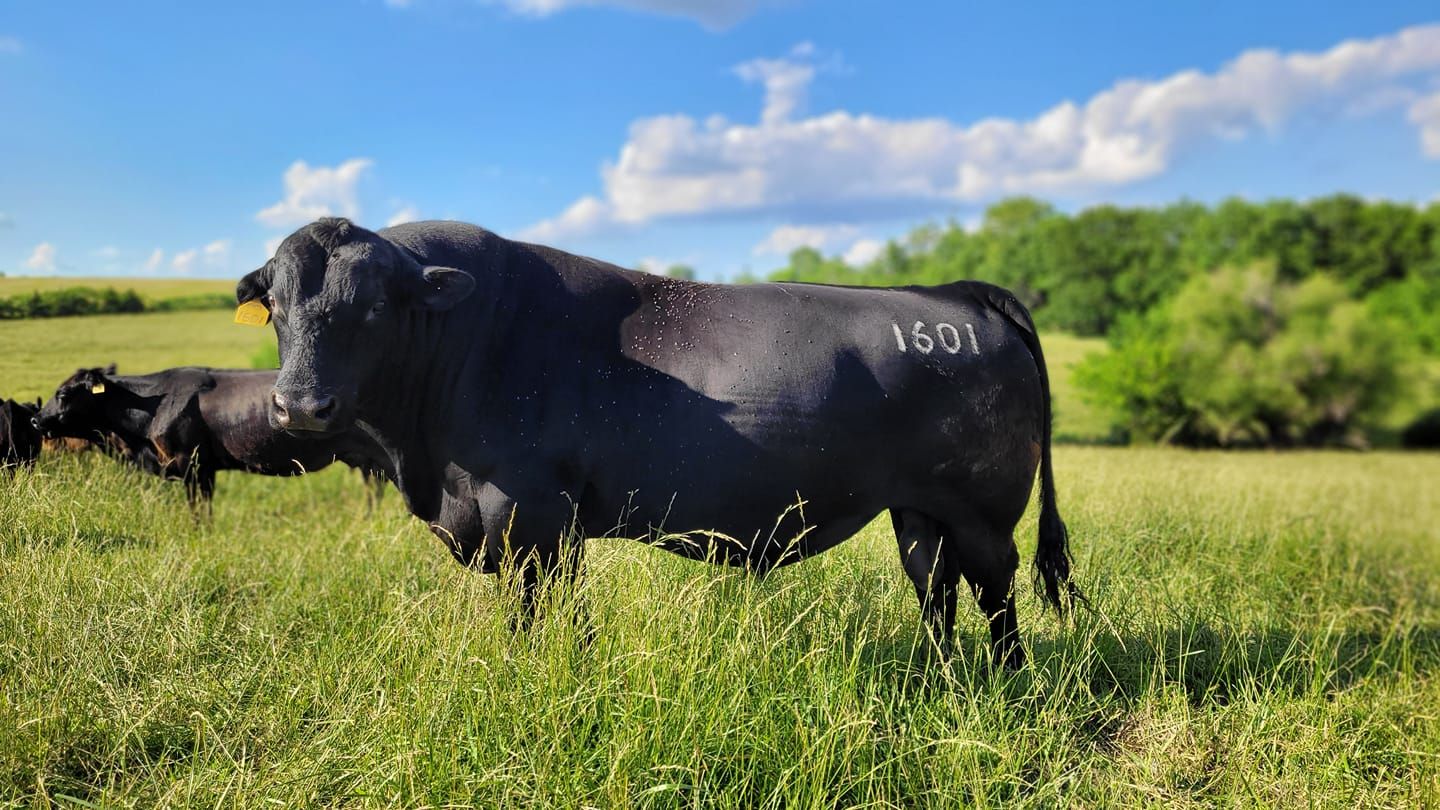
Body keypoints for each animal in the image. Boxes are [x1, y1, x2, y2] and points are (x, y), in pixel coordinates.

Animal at [237, 218, 1079, 667]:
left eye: (376, 306)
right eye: (275, 303)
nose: (299, 405)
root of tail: (950, 295)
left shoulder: (528, 512)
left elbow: (536, 610)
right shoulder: (548, 522)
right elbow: (561, 611)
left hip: (983, 511)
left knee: (994, 592)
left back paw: (1002, 680)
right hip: (917, 508)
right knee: (934, 585)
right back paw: (938, 675)